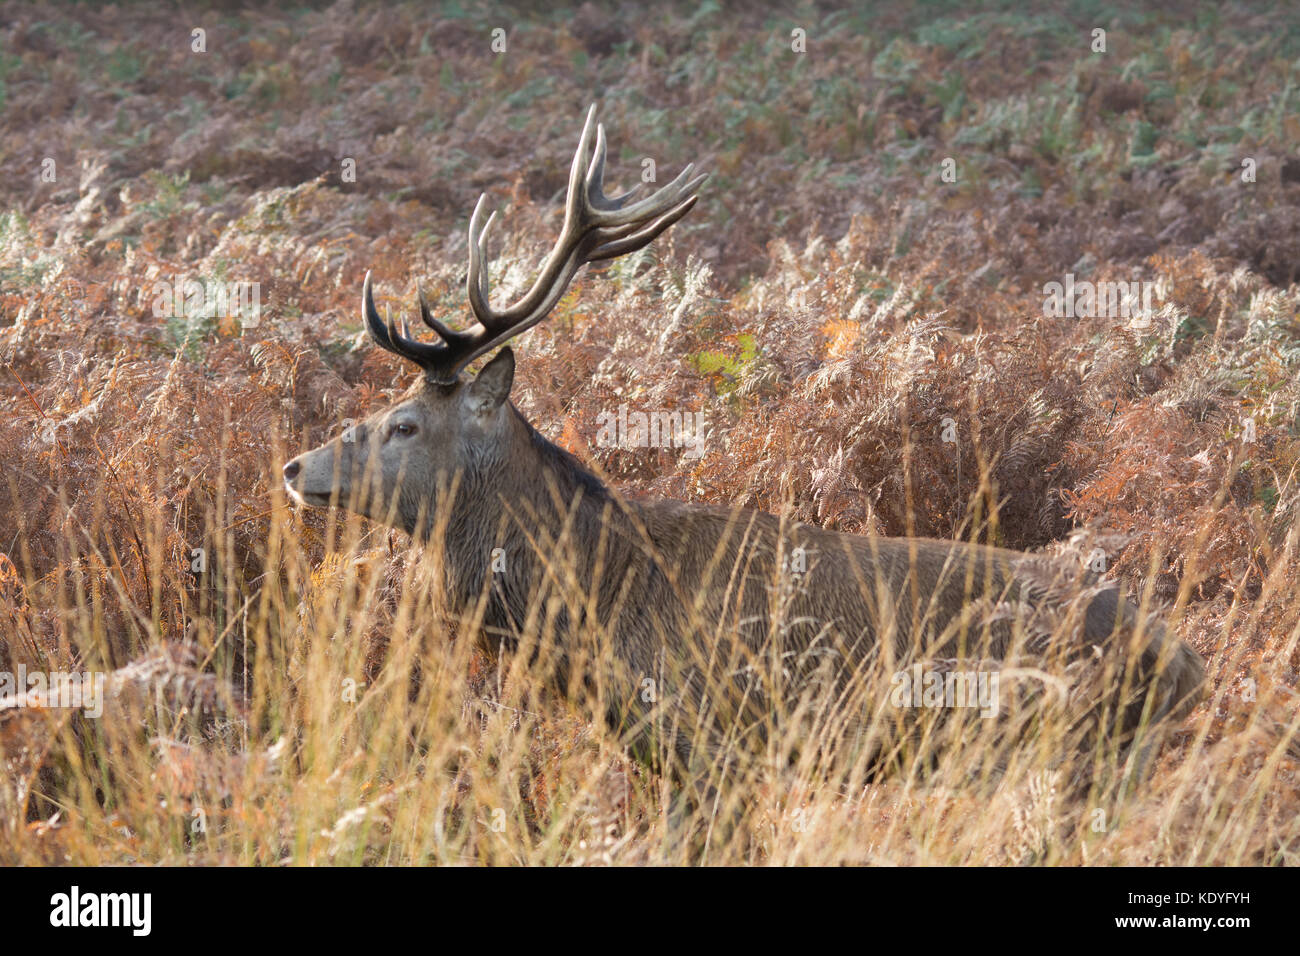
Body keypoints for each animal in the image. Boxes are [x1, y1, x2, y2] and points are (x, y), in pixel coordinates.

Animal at [282, 102, 1196, 822]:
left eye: (403, 425)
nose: (295, 468)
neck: (598, 606)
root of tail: (1186, 662)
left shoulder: (713, 741)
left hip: (1069, 757)